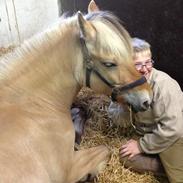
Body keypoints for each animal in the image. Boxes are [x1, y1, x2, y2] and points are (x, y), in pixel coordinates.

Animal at [0, 1, 152, 183]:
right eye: (109, 63)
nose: (146, 99)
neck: (34, 105)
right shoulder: (69, 169)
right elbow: (105, 149)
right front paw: (89, 175)